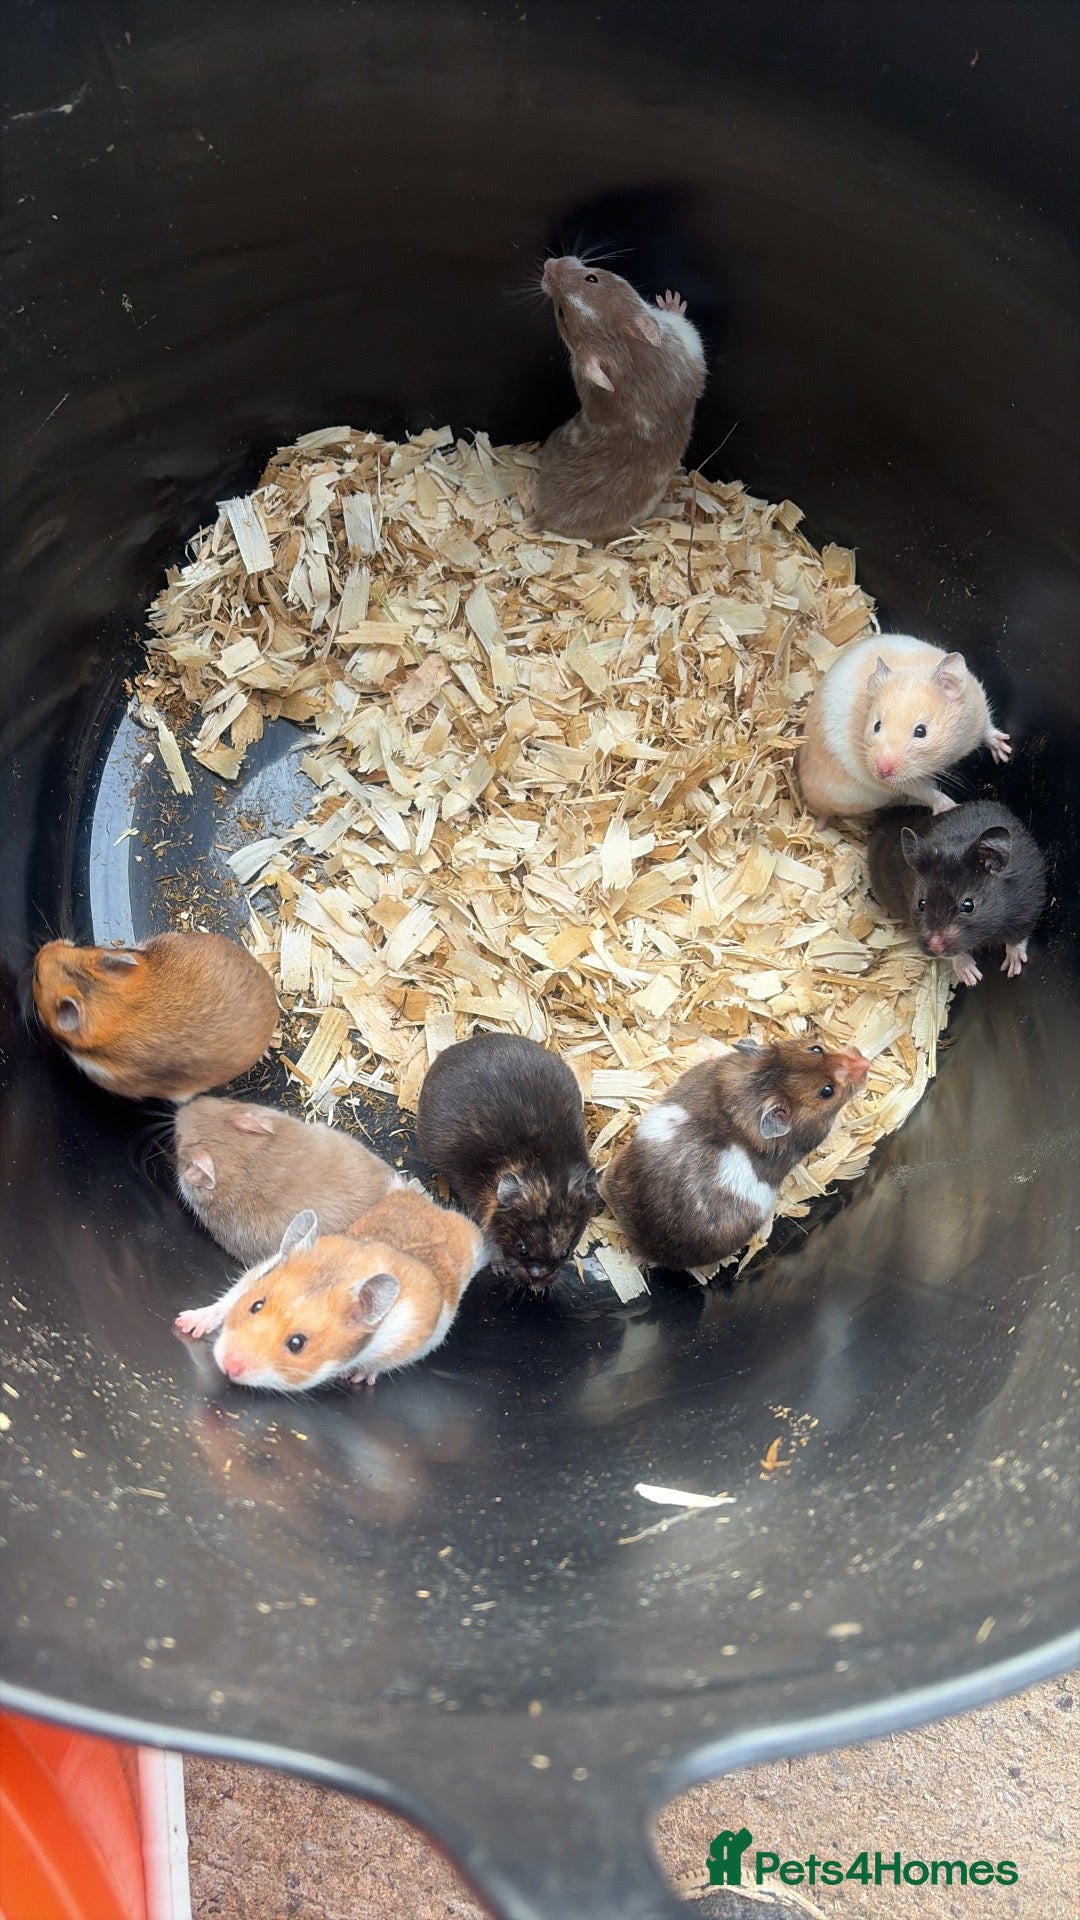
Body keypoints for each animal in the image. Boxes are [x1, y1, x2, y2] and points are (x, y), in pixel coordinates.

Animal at [174, 1190, 488, 1392]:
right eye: (256, 1305)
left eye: (297, 1343)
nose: (228, 1366)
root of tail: (434, 1205)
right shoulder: (260, 1271)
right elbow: (230, 1298)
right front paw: (185, 1324)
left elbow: (379, 1364)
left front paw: (358, 1378)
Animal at [415, 1031, 601, 1288]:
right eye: (521, 1249)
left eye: (565, 1253)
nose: (537, 1283)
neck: (542, 1168)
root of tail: (457, 1047)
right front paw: (499, 1267)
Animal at [533, 255, 706, 543]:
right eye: (560, 311)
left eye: (591, 278)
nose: (549, 263)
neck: (623, 356)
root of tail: (541, 519)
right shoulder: (687, 340)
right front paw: (672, 299)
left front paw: (669, 298)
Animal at [796, 633, 1011, 818]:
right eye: (876, 726)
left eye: (921, 731)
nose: (881, 771)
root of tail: (812, 804)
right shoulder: (900, 783)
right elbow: (926, 792)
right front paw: (950, 806)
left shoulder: (977, 712)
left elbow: (988, 729)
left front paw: (1004, 753)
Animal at [867, 801, 1047, 987]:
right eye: (921, 904)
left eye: (968, 905)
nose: (935, 947)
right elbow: (956, 955)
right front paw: (973, 978)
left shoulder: (1029, 905)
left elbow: (1018, 938)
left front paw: (1013, 970)